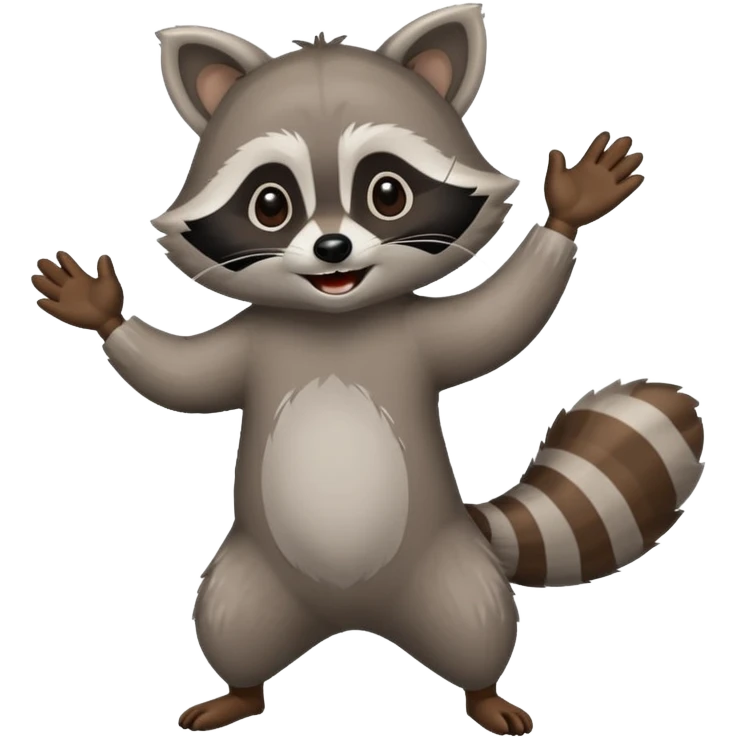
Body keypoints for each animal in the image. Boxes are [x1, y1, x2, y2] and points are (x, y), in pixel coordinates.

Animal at [31, 5, 703, 735]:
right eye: (271, 204)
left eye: (387, 193)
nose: (333, 248)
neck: (336, 320)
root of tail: (352, 618)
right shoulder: (255, 340)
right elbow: (182, 377)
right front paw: (103, 313)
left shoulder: (415, 336)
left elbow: (499, 323)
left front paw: (567, 213)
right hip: (251, 576)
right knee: (229, 622)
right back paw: (238, 692)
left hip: (449, 574)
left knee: (479, 625)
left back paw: (484, 693)